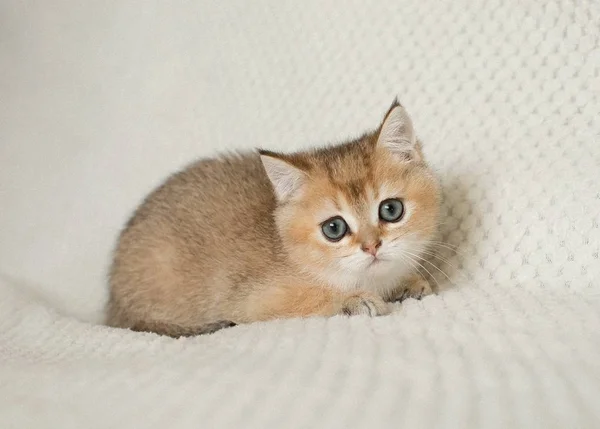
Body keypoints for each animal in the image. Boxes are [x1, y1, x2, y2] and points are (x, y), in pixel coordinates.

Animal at [105, 100, 440, 334]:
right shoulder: (253, 301)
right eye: (334, 228)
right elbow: (312, 301)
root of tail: (113, 303)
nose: (372, 246)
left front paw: (408, 283)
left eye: (391, 210)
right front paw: (354, 300)